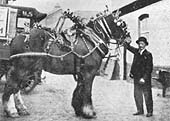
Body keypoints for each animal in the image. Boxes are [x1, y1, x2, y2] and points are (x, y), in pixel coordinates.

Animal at [1, 10, 130, 118]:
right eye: (123, 25)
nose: (129, 40)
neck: (91, 39)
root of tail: (16, 37)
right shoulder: (89, 73)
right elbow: (87, 91)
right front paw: (89, 112)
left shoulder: (81, 73)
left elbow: (79, 90)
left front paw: (79, 110)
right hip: (21, 68)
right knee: (10, 87)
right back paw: (11, 111)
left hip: (26, 69)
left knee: (15, 88)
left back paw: (20, 109)